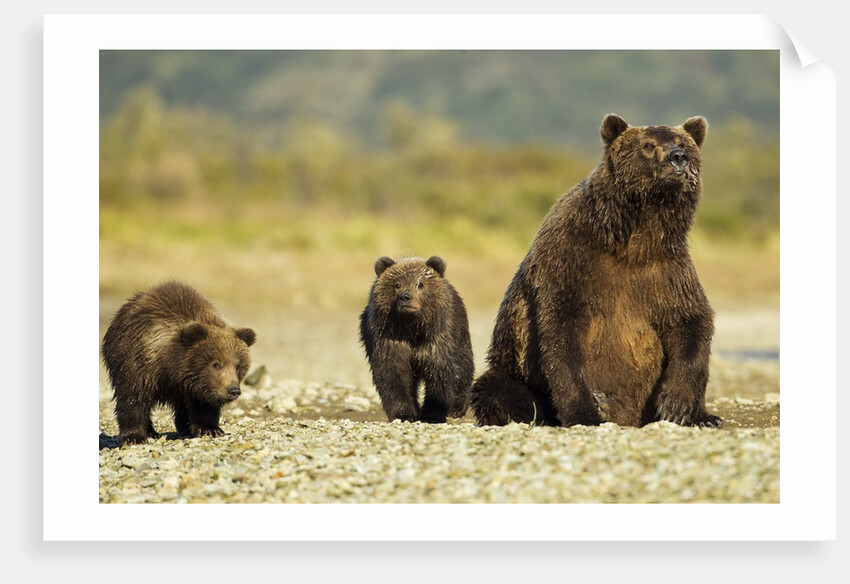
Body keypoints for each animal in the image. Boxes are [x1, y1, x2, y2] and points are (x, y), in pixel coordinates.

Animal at [101, 280, 257, 445]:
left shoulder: (200, 385)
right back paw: (151, 432)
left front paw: (210, 429)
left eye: (237, 365)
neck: (170, 365)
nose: (233, 390)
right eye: (216, 364)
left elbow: (204, 405)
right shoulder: (139, 362)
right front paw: (134, 437)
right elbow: (133, 397)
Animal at [359, 255, 474, 423]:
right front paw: (404, 414)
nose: (405, 297)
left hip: (460, 332)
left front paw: (433, 413)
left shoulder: (436, 339)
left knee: (465, 366)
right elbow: (393, 374)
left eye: (420, 284)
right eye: (397, 284)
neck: (412, 329)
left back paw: (457, 408)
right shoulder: (389, 339)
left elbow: (440, 372)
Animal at [470, 113, 722, 429]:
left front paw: (677, 405)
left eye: (683, 143)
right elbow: (562, 333)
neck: (633, 238)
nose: (678, 158)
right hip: (513, 368)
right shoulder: (570, 258)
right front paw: (586, 411)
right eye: (648, 145)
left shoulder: (667, 269)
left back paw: (707, 416)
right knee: (498, 390)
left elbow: (690, 320)